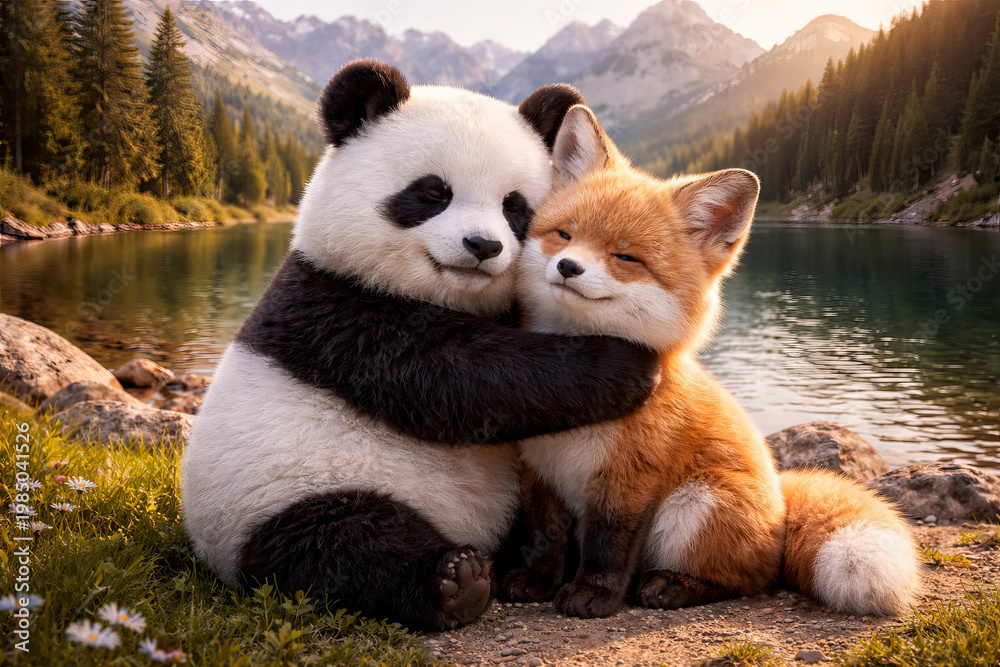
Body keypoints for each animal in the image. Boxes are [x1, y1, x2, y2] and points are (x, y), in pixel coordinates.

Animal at [180, 60, 659, 631]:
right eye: (433, 192)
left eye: (515, 206)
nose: (482, 246)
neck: (451, 297)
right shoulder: (340, 314)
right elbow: (458, 381)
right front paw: (629, 366)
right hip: (275, 495)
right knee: (337, 544)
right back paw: (453, 580)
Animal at [500, 104, 921, 619]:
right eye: (564, 234)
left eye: (626, 257)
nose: (567, 267)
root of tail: (782, 504)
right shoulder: (539, 473)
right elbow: (543, 538)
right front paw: (538, 581)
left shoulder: (629, 480)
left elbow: (608, 545)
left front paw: (594, 594)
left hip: (693, 506)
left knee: (749, 580)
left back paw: (673, 586)